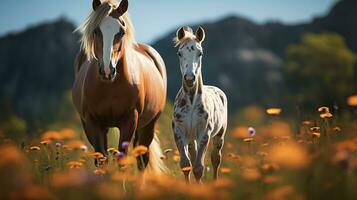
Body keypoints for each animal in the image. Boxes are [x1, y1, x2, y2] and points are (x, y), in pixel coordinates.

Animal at [73, 0, 168, 172]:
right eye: (96, 30)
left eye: (121, 32)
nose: (107, 71)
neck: (110, 87)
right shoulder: (92, 122)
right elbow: (101, 159)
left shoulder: (130, 120)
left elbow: (122, 160)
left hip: (148, 125)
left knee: (142, 160)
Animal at [171, 26, 227, 183]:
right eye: (179, 53)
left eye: (200, 53)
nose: (190, 78)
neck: (191, 102)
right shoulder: (179, 132)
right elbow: (186, 165)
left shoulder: (204, 133)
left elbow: (198, 168)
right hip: (191, 138)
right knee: (194, 154)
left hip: (219, 135)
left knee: (216, 159)